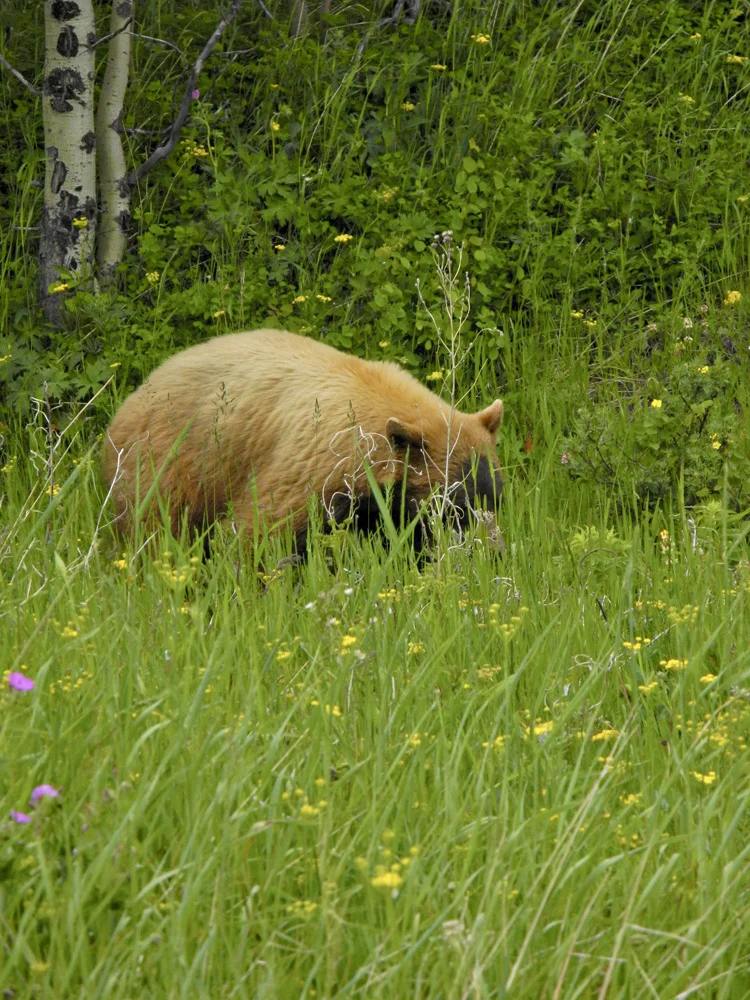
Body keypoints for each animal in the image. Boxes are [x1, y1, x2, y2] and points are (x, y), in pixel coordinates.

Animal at [102, 329, 505, 553]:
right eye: (458, 507)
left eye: (497, 499)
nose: (495, 551)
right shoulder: (314, 469)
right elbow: (260, 529)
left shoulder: (388, 505)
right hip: (168, 462)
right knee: (154, 528)